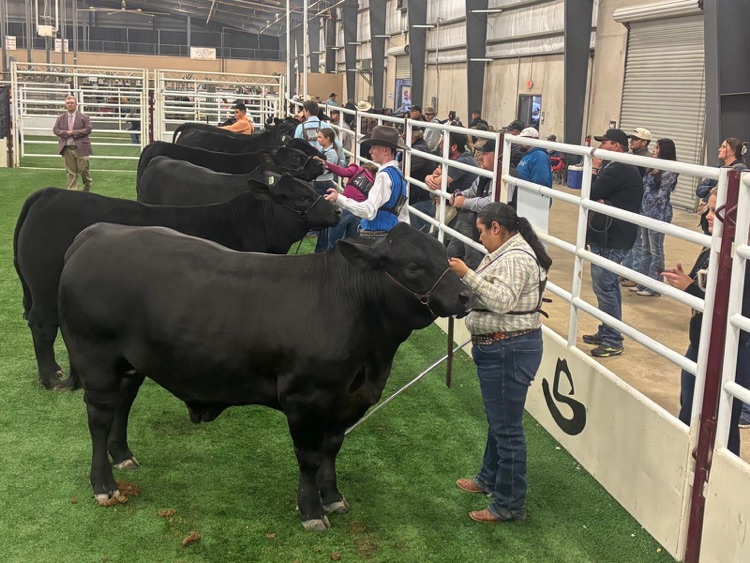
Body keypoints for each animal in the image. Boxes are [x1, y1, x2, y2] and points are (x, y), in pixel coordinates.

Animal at [14, 173, 339, 392]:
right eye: (301, 197)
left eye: (311, 189)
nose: (337, 210)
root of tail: (50, 193)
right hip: (44, 286)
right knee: (42, 325)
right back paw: (52, 377)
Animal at [58, 222, 472, 531]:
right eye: (413, 266)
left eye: (446, 256)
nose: (466, 296)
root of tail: (97, 232)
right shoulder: (306, 399)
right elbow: (309, 456)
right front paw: (311, 511)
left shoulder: (344, 402)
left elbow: (332, 449)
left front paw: (334, 498)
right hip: (96, 361)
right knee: (99, 418)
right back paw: (104, 484)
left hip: (131, 364)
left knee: (122, 404)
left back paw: (123, 456)